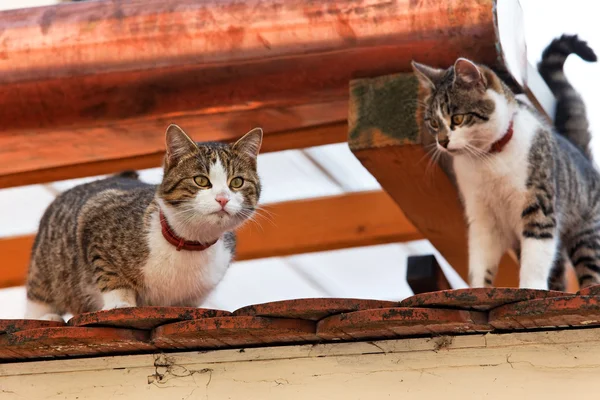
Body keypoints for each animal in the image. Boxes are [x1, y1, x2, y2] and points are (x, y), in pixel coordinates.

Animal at [25, 125, 262, 322]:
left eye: (237, 182)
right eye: (201, 180)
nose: (223, 199)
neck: (190, 242)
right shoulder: (96, 216)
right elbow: (111, 276)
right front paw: (120, 303)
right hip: (46, 267)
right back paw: (45, 316)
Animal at [412, 36, 600, 290]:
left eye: (457, 119)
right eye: (433, 123)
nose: (442, 142)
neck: (488, 159)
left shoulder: (538, 203)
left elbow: (536, 256)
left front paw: (531, 288)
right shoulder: (482, 218)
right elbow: (481, 261)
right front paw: (479, 288)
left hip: (588, 235)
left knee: (590, 268)